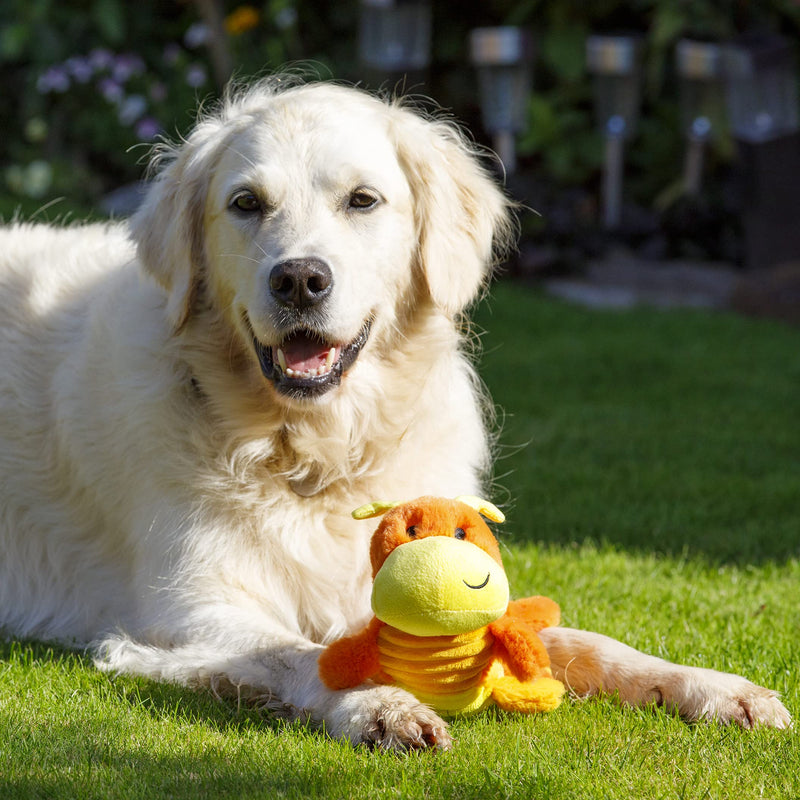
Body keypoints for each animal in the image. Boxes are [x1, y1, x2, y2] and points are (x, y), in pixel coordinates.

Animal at [0, 78, 788, 748]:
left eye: (362, 201)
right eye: (246, 203)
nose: (300, 278)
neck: (313, 453)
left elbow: (583, 641)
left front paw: (711, 687)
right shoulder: (187, 611)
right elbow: (301, 653)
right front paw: (382, 707)